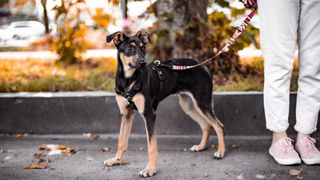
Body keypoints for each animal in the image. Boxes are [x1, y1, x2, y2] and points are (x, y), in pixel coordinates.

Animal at [105, 30, 225, 177]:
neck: (129, 79)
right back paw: (201, 147)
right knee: (207, 125)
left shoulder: (149, 114)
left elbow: (151, 146)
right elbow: (121, 141)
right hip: (188, 105)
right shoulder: (126, 114)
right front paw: (115, 160)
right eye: (130, 48)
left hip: (202, 102)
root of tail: (203, 66)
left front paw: (150, 170)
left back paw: (220, 152)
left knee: (219, 126)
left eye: (143, 48)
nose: (143, 62)